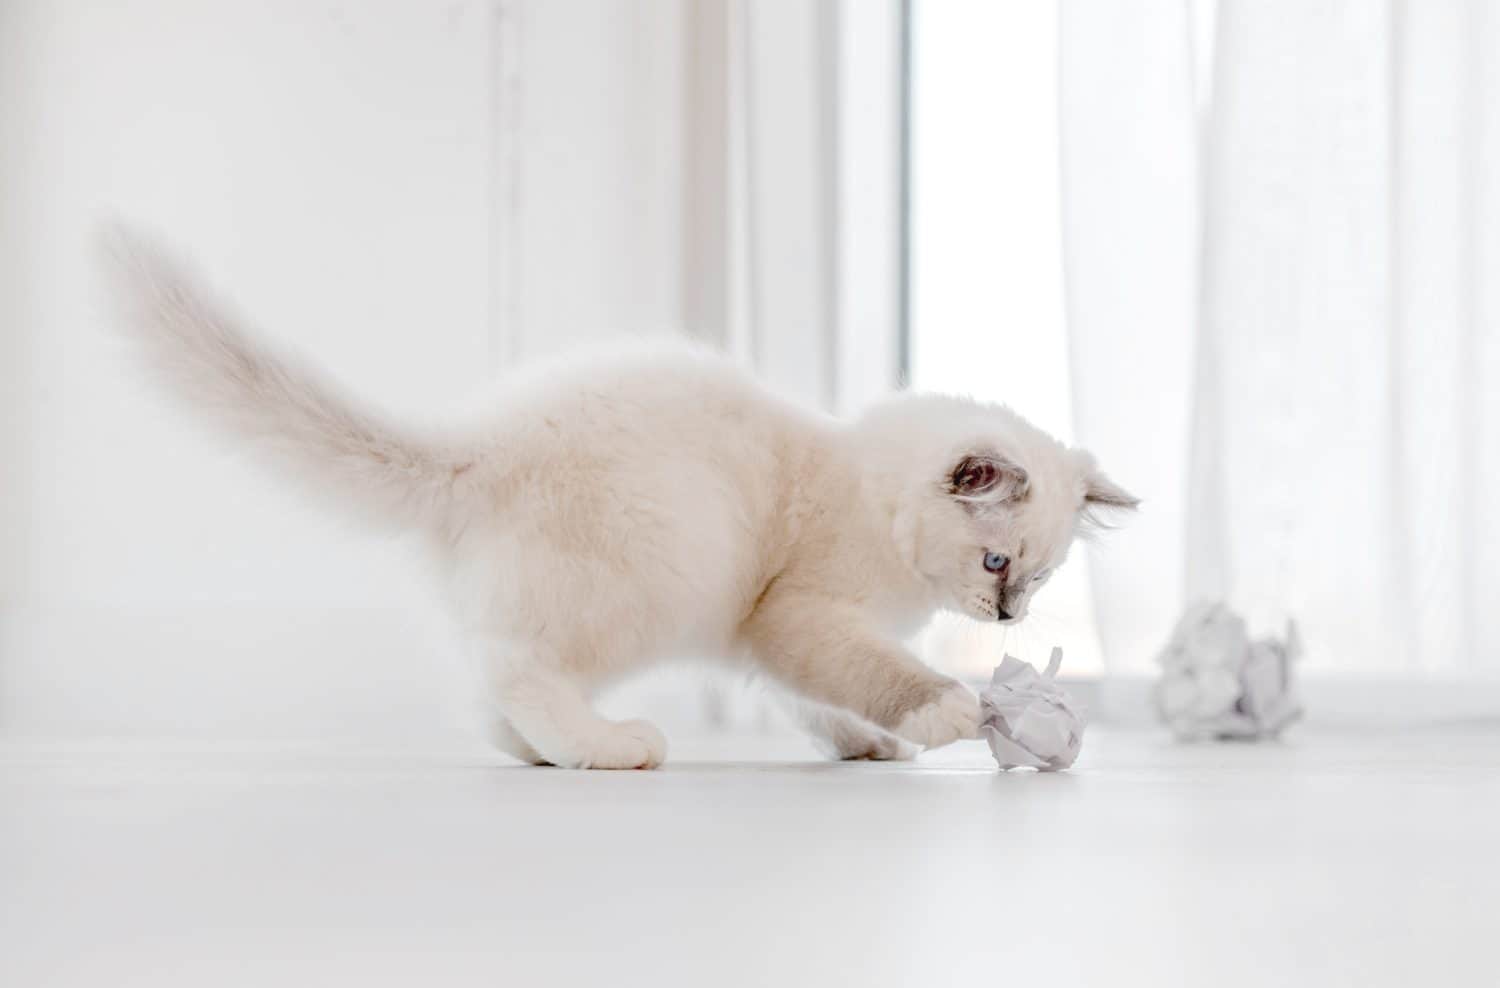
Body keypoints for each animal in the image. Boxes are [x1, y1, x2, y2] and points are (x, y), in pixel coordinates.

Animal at [105, 232, 1134, 773]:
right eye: (997, 563)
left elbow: (809, 700)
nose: (1006, 617)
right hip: (664, 571)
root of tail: (476, 449)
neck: (862, 486)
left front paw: (865, 746)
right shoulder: (800, 612)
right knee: (516, 671)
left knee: (496, 694)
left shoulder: (767, 637)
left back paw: (546, 752)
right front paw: (943, 715)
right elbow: (868, 672)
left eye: (1039, 581)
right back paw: (611, 746)